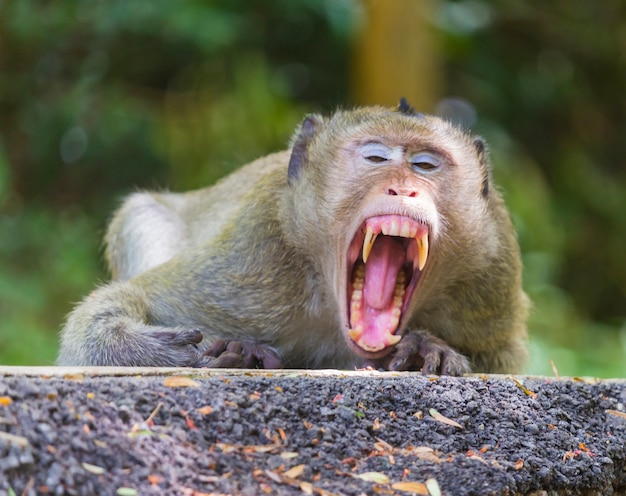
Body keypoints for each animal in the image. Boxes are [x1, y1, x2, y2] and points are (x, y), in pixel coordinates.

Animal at [57, 101, 528, 374]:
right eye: (376, 157)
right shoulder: (254, 264)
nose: (405, 189)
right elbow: (130, 301)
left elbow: (502, 359)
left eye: (426, 165)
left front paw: (426, 346)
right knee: (140, 214)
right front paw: (133, 345)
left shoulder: (490, 275)